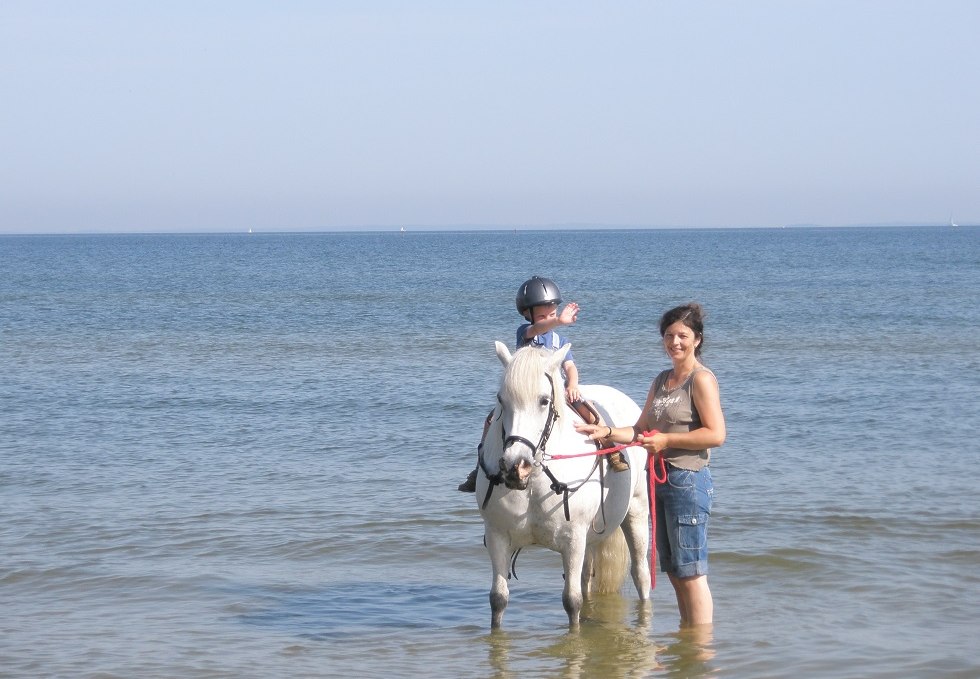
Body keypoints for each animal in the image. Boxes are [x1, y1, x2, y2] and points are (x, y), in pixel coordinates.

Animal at [476, 342, 652, 628]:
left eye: (544, 401)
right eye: (501, 400)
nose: (516, 466)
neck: (535, 481)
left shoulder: (573, 539)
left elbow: (572, 601)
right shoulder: (497, 536)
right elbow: (498, 599)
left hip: (636, 511)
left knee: (641, 573)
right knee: (587, 576)